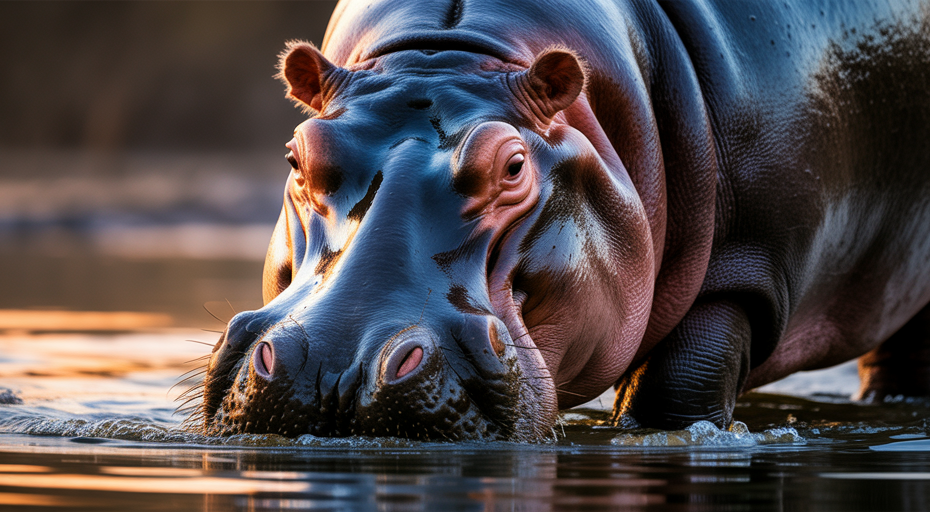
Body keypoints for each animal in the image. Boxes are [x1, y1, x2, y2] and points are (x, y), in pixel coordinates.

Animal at [201, 0, 930, 440]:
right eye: (300, 155)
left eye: (514, 165)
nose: (336, 363)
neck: (457, 47)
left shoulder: (745, 269)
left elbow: (675, 396)